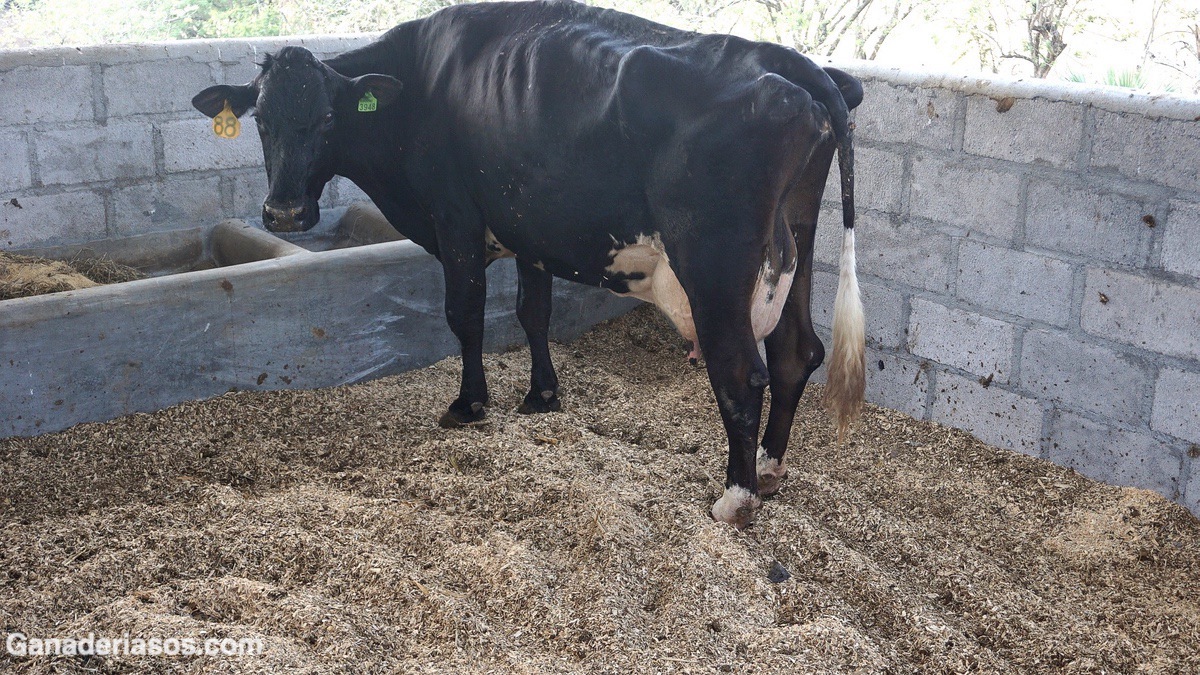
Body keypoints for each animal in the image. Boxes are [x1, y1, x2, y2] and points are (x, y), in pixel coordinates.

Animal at [192, 0, 864, 526]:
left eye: (329, 118)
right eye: (260, 119)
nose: (283, 213)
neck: (418, 89)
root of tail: (797, 66)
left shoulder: (456, 220)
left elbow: (465, 315)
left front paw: (469, 405)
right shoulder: (531, 229)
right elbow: (531, 313)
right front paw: (542, 395)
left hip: (714, 264)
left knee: (742, 375)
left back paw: (735, 499)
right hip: (797, 244)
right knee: (796, 351)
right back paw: (770, 471)